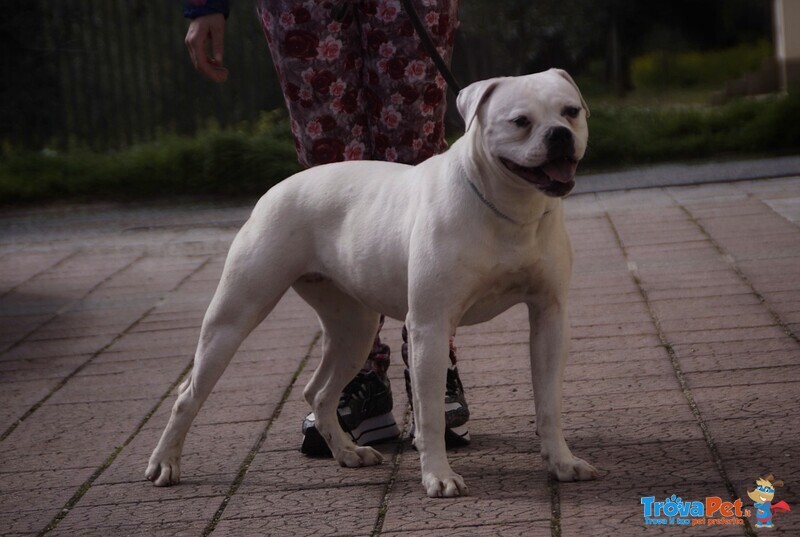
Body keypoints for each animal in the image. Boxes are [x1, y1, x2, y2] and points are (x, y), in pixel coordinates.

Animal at [147, 68, 600, 498]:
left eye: (571, 112)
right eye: (520, 121)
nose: (559, 135)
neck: (510, 208)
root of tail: (277, 188)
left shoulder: (549, 317)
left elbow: (548, 403)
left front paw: (562, 463)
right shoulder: (430, 327)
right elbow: (429, 414)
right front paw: (438, 477)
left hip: (354, 329)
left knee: (319, 392)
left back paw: (348, 453)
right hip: (234, 317)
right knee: (187, 395)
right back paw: (165, 463)